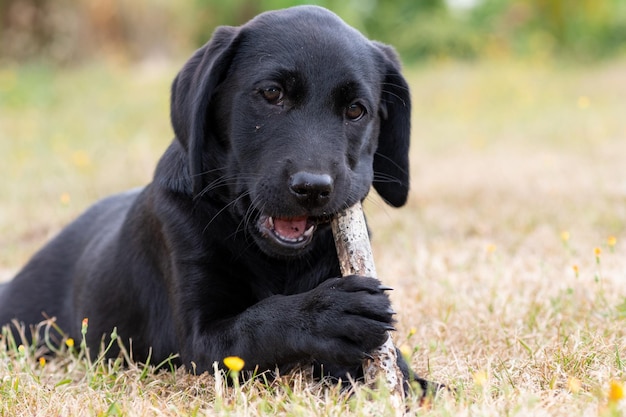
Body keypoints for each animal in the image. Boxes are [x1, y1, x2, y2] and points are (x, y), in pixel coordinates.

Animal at [1, 4, 420, 390]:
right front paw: (328, 313)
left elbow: (400, 370)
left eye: (356, 110)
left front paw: (413, 385)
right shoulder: (199, 341)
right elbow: (258, 323)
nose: (313, 188)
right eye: (272, 93)